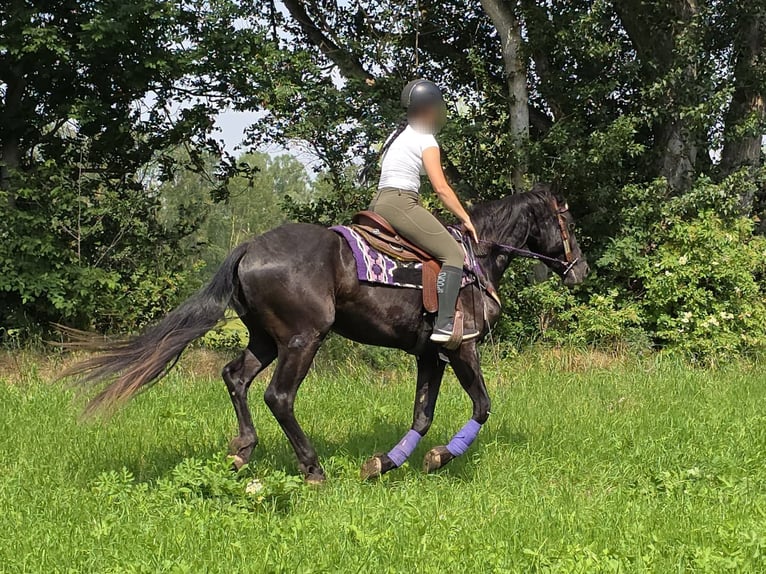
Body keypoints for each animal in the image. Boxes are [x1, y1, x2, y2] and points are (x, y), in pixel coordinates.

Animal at [65, 184, 589, 483]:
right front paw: (441, 457)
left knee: (235, 377)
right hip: (303, 339)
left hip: (265, 339)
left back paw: (242, 451)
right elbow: (481, 406)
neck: (476, 257)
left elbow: (421, 416)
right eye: (567, 220)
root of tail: (250, 247)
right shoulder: (462, 348)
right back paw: (312, 468)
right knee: (278, 396)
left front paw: (385, 463)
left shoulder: (428, 355)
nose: (580, 270)